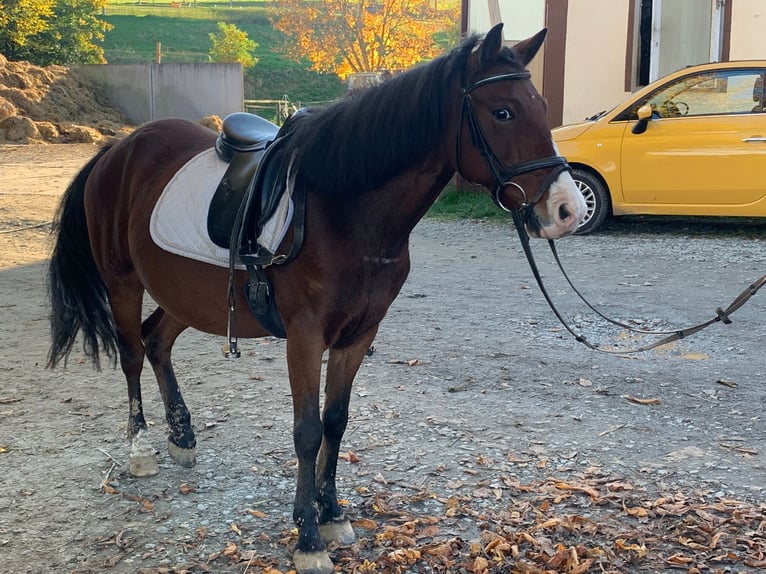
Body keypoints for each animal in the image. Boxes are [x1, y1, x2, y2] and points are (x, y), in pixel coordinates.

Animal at [46, 24, 588, 572]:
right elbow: (307, 431)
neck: (344, 210)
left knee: (157, 342)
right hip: (123, 282)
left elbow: (336, 421)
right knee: (133, 354)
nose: (568, 210)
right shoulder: (304, 336)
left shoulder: (359, 333)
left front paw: (331, 514)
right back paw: (141, 450)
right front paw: (307, 538)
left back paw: (181, 436)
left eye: (542, 106)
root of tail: (118, 149)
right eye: (503, 112)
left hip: (187, 294)